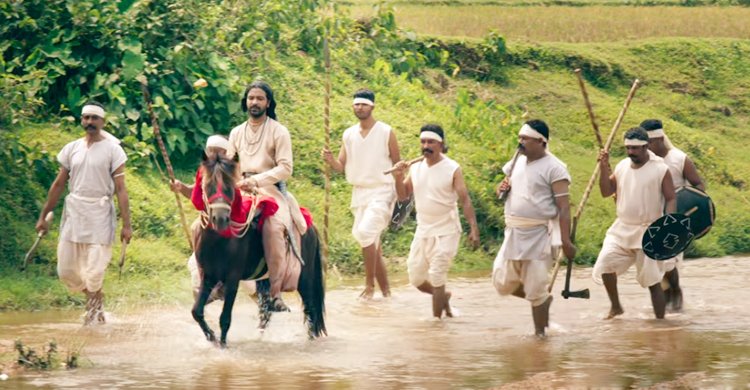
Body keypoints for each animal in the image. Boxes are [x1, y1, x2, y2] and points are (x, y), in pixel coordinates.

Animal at [191, 152, 326, 348]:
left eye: (230, 186)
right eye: (207, 185)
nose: (220, 219)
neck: (219, 241)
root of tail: (310, 227)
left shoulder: (233, 278)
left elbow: (225, 319)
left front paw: (222, 346)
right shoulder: (208, 276)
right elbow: (197, 311)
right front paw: (212, 338)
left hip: (305, 279)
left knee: (310, 311)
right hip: (265, 280)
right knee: (266, 312)